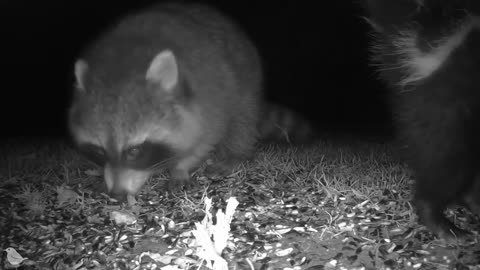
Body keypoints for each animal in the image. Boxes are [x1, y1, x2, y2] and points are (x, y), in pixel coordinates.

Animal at [68, 2, 262, 200]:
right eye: (99, 151)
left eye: (134, 151)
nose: (117, 194)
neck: (124, 63)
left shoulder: (211, 98)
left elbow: (204, 140)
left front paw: (180, 167)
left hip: (245, 73)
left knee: (242, 118)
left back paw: (235, 153)